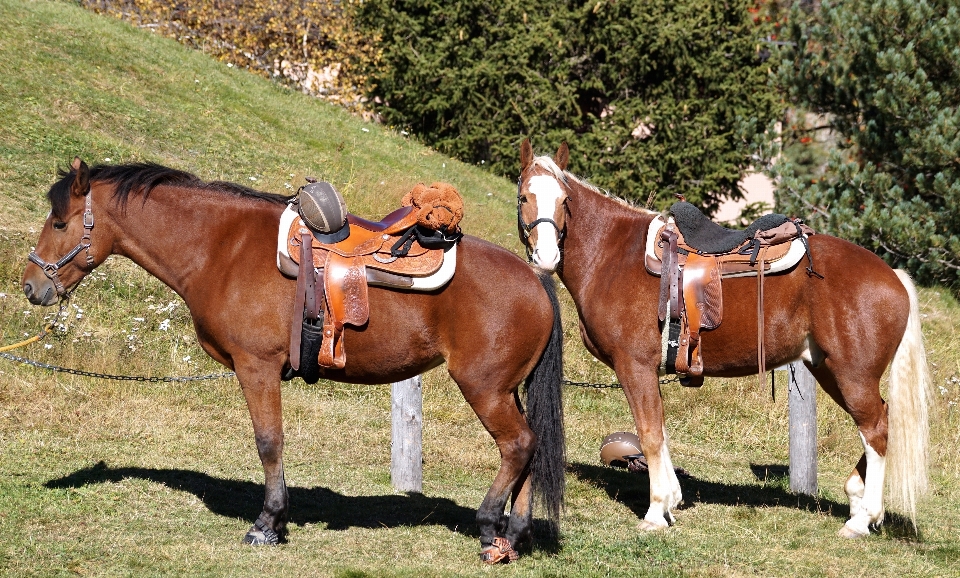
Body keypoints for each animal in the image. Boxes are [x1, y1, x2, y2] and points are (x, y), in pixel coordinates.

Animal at [22, 156, 568, 560]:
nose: (31, 286)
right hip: (507, 390)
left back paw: (489, 527)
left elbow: (268, 442)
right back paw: (513, 536)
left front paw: (267, 523)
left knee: (518, 445)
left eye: (60, 221)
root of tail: (534, 278)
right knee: (530, 447)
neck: (221, 247)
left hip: (484, 387)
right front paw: (279, 518)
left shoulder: (256, 367)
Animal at [516, 142, 928, 536]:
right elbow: (660, 430)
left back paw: (863, 519)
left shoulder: (634, 366)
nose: (547, 256)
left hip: (852, 375)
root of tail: (893, 276)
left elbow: (649, 434)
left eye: (564, 201)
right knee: (879, 421)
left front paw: (655, 511)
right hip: (829, 371)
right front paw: (672, 499)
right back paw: (857, 503)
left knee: (875, 430)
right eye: (523, 197)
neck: (613, 255)